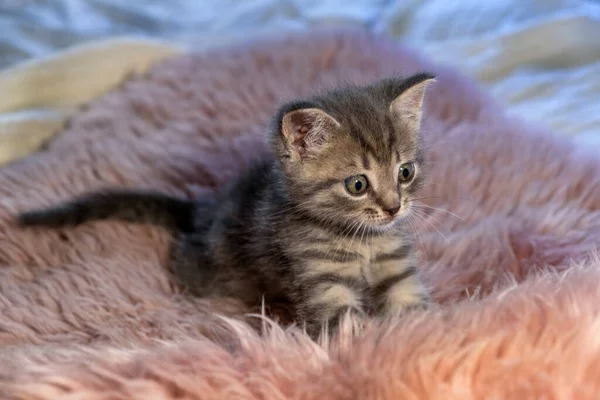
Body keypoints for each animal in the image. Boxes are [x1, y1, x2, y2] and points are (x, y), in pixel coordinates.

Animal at [16, 72, 434, 338]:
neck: (361, 240)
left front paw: (422, 338)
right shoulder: (319, 278)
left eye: (405, 172)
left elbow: (413, 308)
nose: (394, 208)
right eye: (357, 184)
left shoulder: (395, 264)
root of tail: (205, 209)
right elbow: (344, 326)